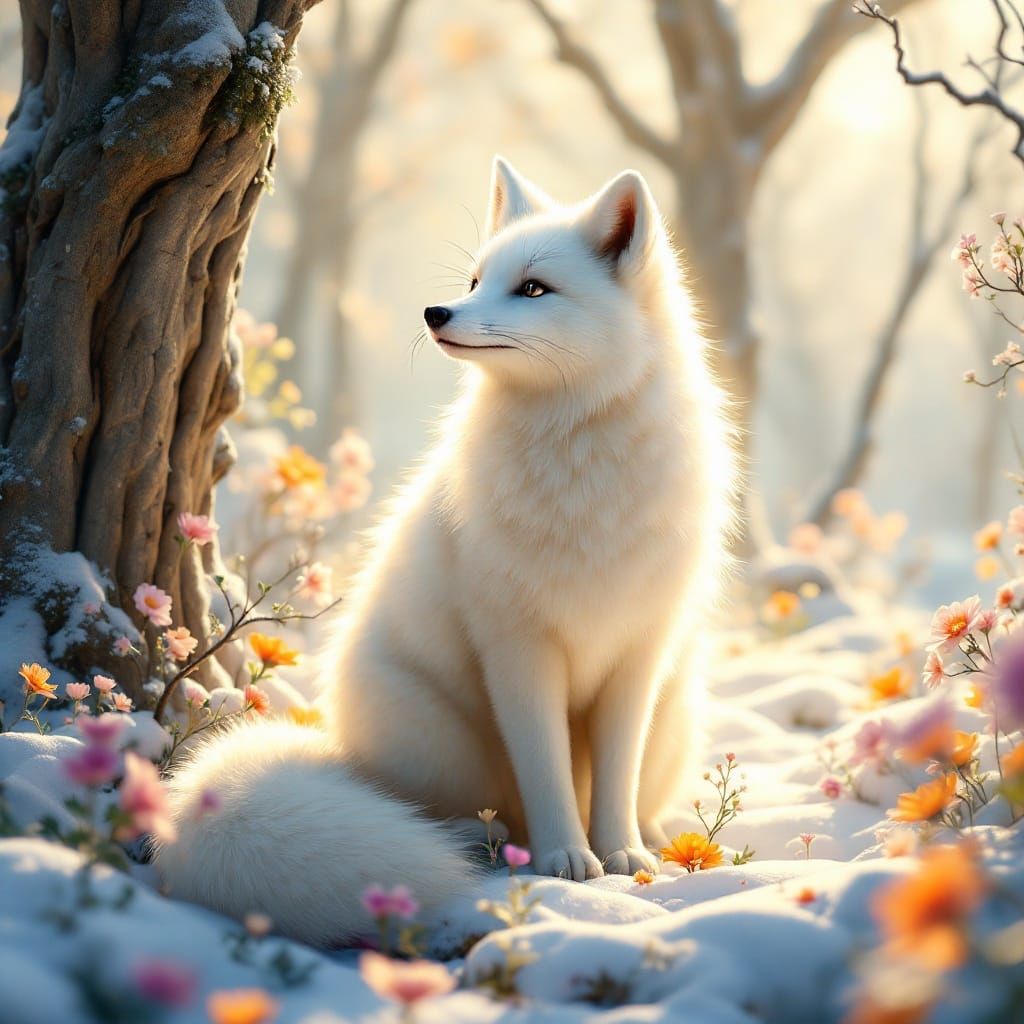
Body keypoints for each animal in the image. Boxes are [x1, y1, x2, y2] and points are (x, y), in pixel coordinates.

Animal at [154, 158, 736, 948]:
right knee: (457, 811)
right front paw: (566, 860)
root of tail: (341, 742)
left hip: (672, 715)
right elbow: (547, 774)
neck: (580, 455)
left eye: (533, 288)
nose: (436, 313)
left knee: (631, 792)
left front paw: (619, 858)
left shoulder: (637, 654)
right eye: (475, 280)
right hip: (444, 741)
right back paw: (473, 840)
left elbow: (612, 783)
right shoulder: (518, 647)